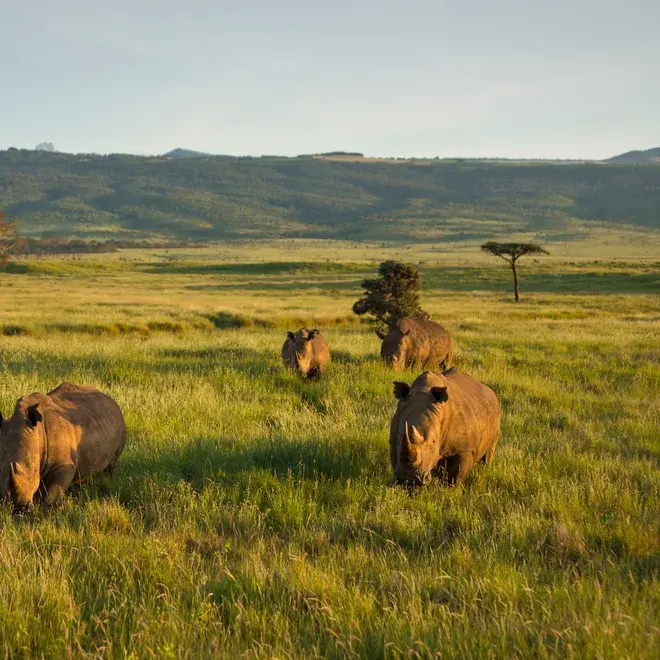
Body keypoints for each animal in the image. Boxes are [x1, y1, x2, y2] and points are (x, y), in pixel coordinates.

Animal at [0, 382, 126, 511]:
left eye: (34, 471)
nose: (17, 508)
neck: (38, 433)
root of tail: (110, 399)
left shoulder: (64, 463)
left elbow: (52, 492)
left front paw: (44, 510)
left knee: (111, 465)